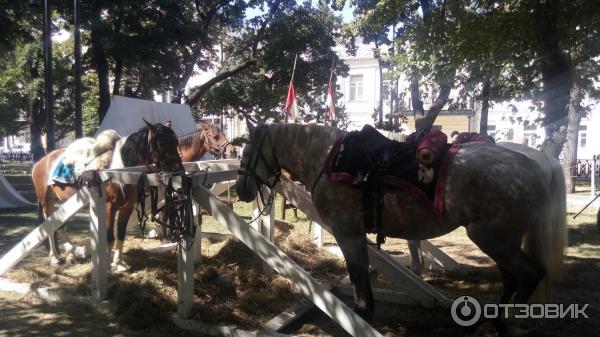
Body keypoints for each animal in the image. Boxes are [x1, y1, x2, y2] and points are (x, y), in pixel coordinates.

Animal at [32, 121, 183, 268]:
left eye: (176, 141)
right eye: (162, 144)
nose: (178, 169)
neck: (120, 173)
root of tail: (40, 162)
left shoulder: (126, 208)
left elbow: (121, 234)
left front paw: (119, 262)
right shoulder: (109, 208)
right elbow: (110, 237)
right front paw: (108, 265)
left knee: (60, 226)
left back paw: (71, 253)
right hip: (47, 202)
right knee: (50, 228)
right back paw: (55, 258)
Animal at [236, 123, 568, 320]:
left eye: (247, 150)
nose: (241, 190)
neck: (327, 161)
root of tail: (535, 164)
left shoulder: (347, 232)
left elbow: (358, 278)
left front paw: (362, 316)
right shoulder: (357, 234)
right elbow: (362, 277)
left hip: (493, 239)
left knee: (530, 274)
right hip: (501, 241)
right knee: (512, 277)